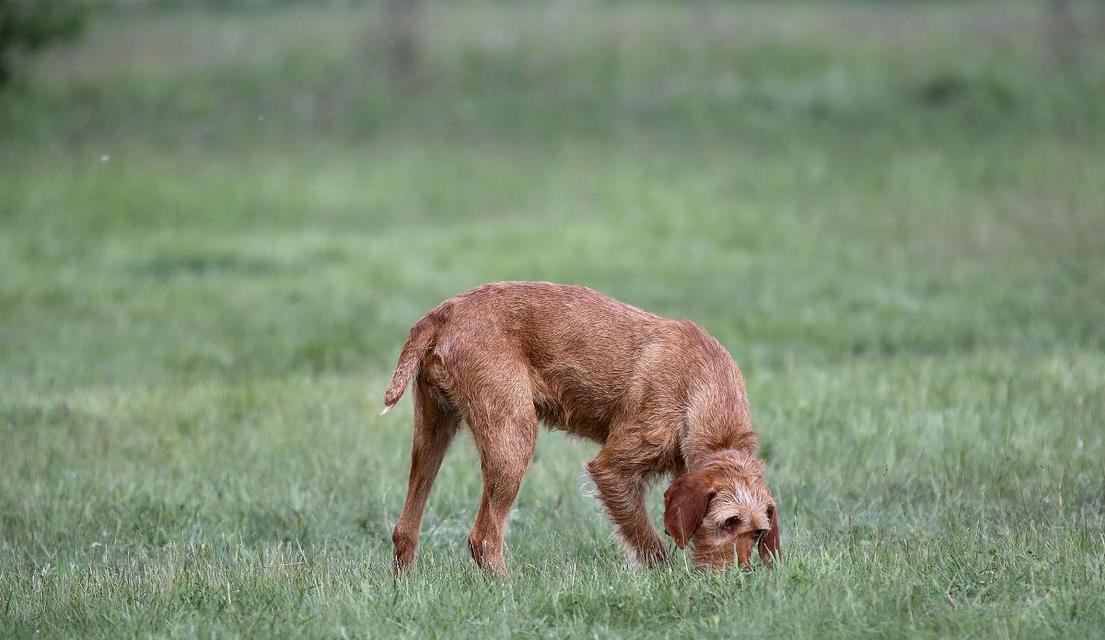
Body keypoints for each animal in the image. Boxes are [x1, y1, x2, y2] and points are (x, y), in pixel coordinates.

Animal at [384, 280, 782, 574]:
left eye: (759, 533)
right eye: (728, 522)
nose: (740, 577)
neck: (701, 389)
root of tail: (441, 313)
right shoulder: (612, 470)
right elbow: (649, 543)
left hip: (433, 433)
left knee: (405, 529)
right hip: (513, 440)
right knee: (483, 539)